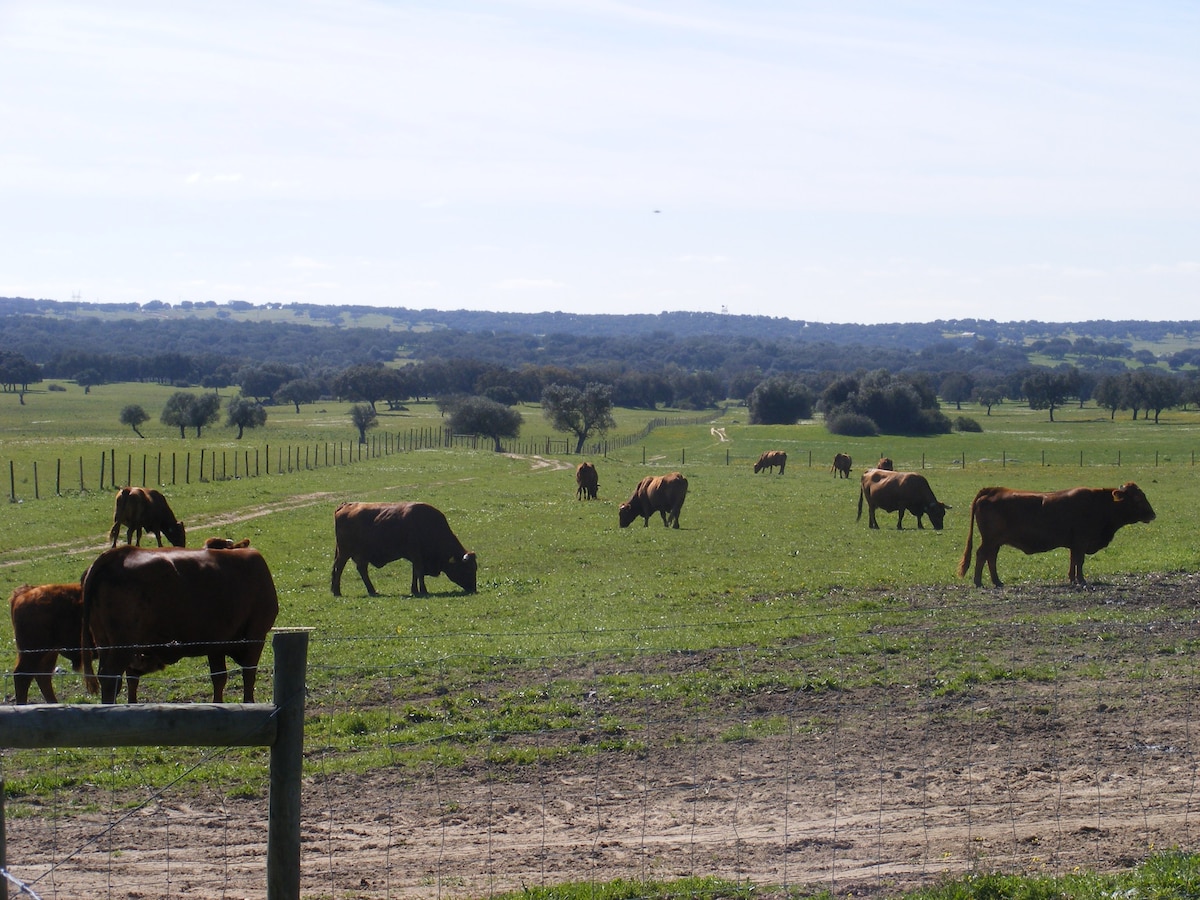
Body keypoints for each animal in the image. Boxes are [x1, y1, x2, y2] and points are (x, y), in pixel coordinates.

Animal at [79, 547, 278, 710]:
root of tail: (119, 553)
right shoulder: (256, 636)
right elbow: (248, 674)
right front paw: (249, 703)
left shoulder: (216, 644)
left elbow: (219, 678)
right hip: (124, 645)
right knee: (111, 677)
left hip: (106, 643)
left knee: (121, 678)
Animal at [333, 501, 477, 600]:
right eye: (467, 569)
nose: (474, 589)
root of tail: (345, 505)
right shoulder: (417, 556)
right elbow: (419, 572)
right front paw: (423, 590)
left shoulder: (416, 557)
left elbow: (415, 573)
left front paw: (415, 590)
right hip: (345, 553)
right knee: (338, 569)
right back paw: (337, 592)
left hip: (359, 555)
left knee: (362, 570)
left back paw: (372, 590)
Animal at [955, 482, 1152, 588]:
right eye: (1137, 498)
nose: (1152, 514)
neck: (1099, 504)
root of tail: (993, 490)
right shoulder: (1081, 541)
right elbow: (1079, 561)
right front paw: (1081, 580)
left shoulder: (1075, 543)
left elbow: (1073, 561)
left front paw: (1072, 579)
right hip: (990, 540)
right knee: (982, 555)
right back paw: (979, 582)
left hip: (996, 542)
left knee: (991, 557)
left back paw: (997, 581)